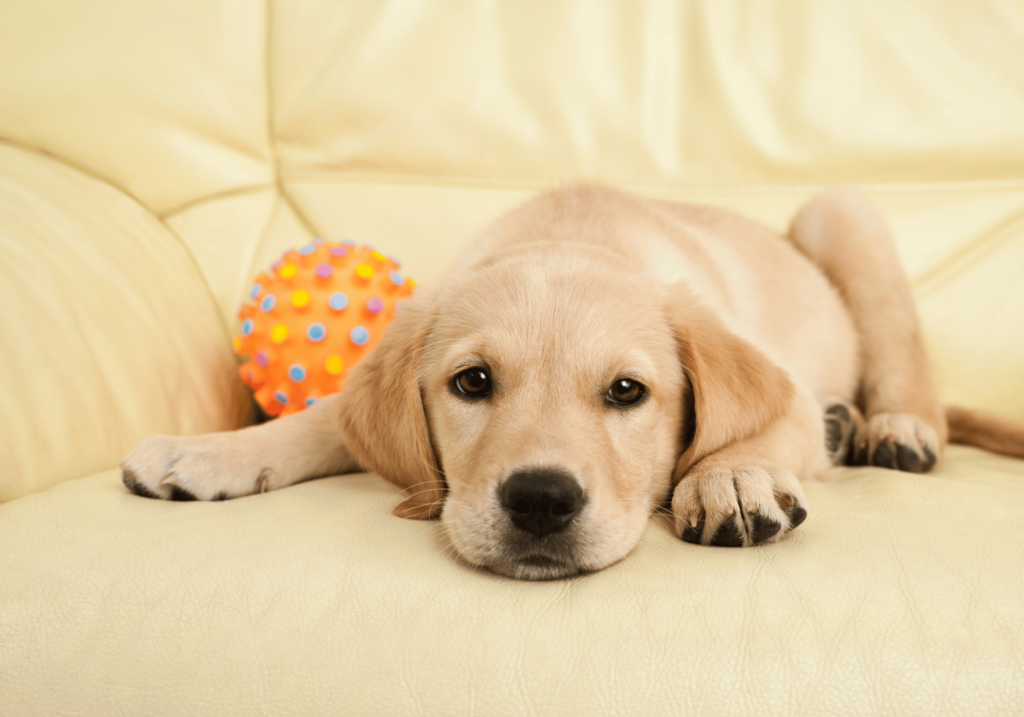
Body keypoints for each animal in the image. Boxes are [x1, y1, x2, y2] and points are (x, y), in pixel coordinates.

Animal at [121, 182, 1024, 581]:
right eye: (472, 382)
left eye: (627, 392)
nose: (541, 502)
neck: (575, 233)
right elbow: (320, 418)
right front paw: (208, 453)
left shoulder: (787, 394)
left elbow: (752, 429)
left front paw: (728, 477)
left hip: (842, 211)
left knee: (907, 373)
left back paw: (895, 428)